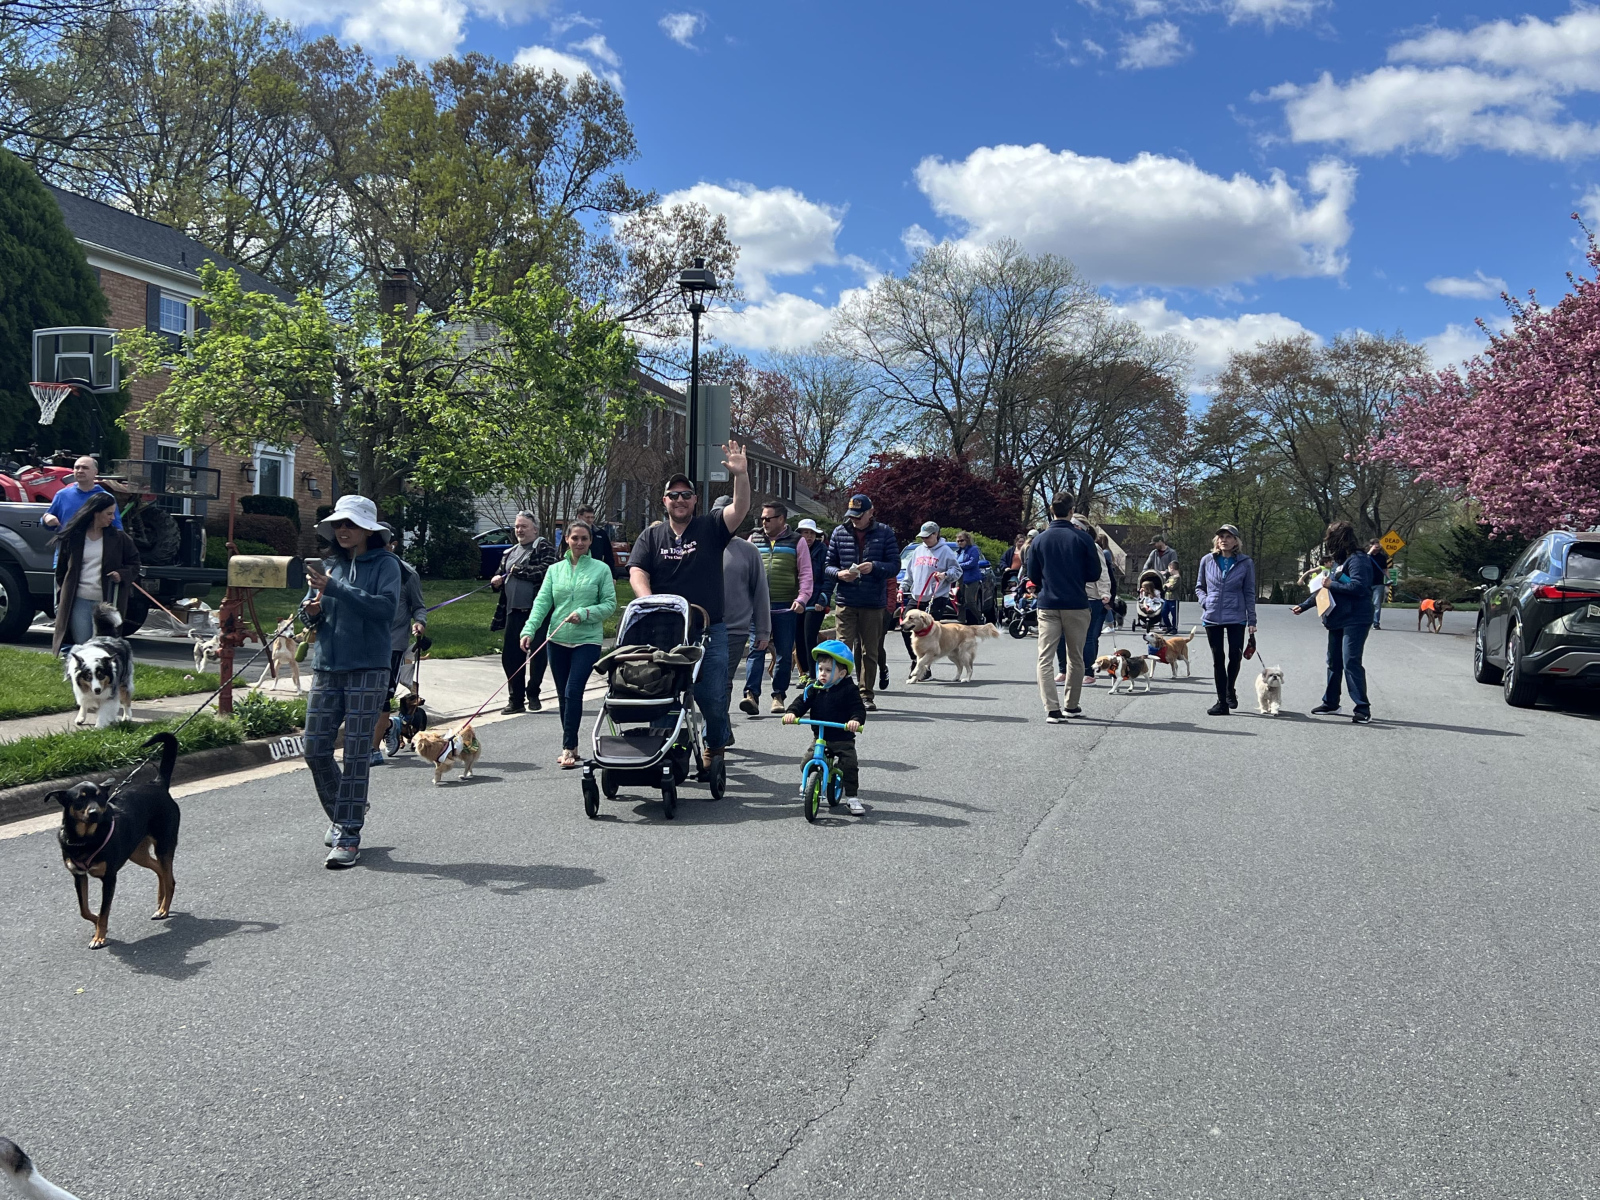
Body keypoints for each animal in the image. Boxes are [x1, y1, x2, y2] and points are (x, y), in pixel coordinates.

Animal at [50, 732, 180, 949]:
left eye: (100, 797)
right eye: (80, 799)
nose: (94, 812)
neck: (86, 839)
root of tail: (157, 784)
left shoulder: (109, 877)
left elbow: (104, 911)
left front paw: (99, 937)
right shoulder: (78, 875)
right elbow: (84, 909)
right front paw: (96, 924)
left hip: (163, 844)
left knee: (170, 879)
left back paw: (163, 909)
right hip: (137, 852)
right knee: (160, 870)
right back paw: (160, 901)